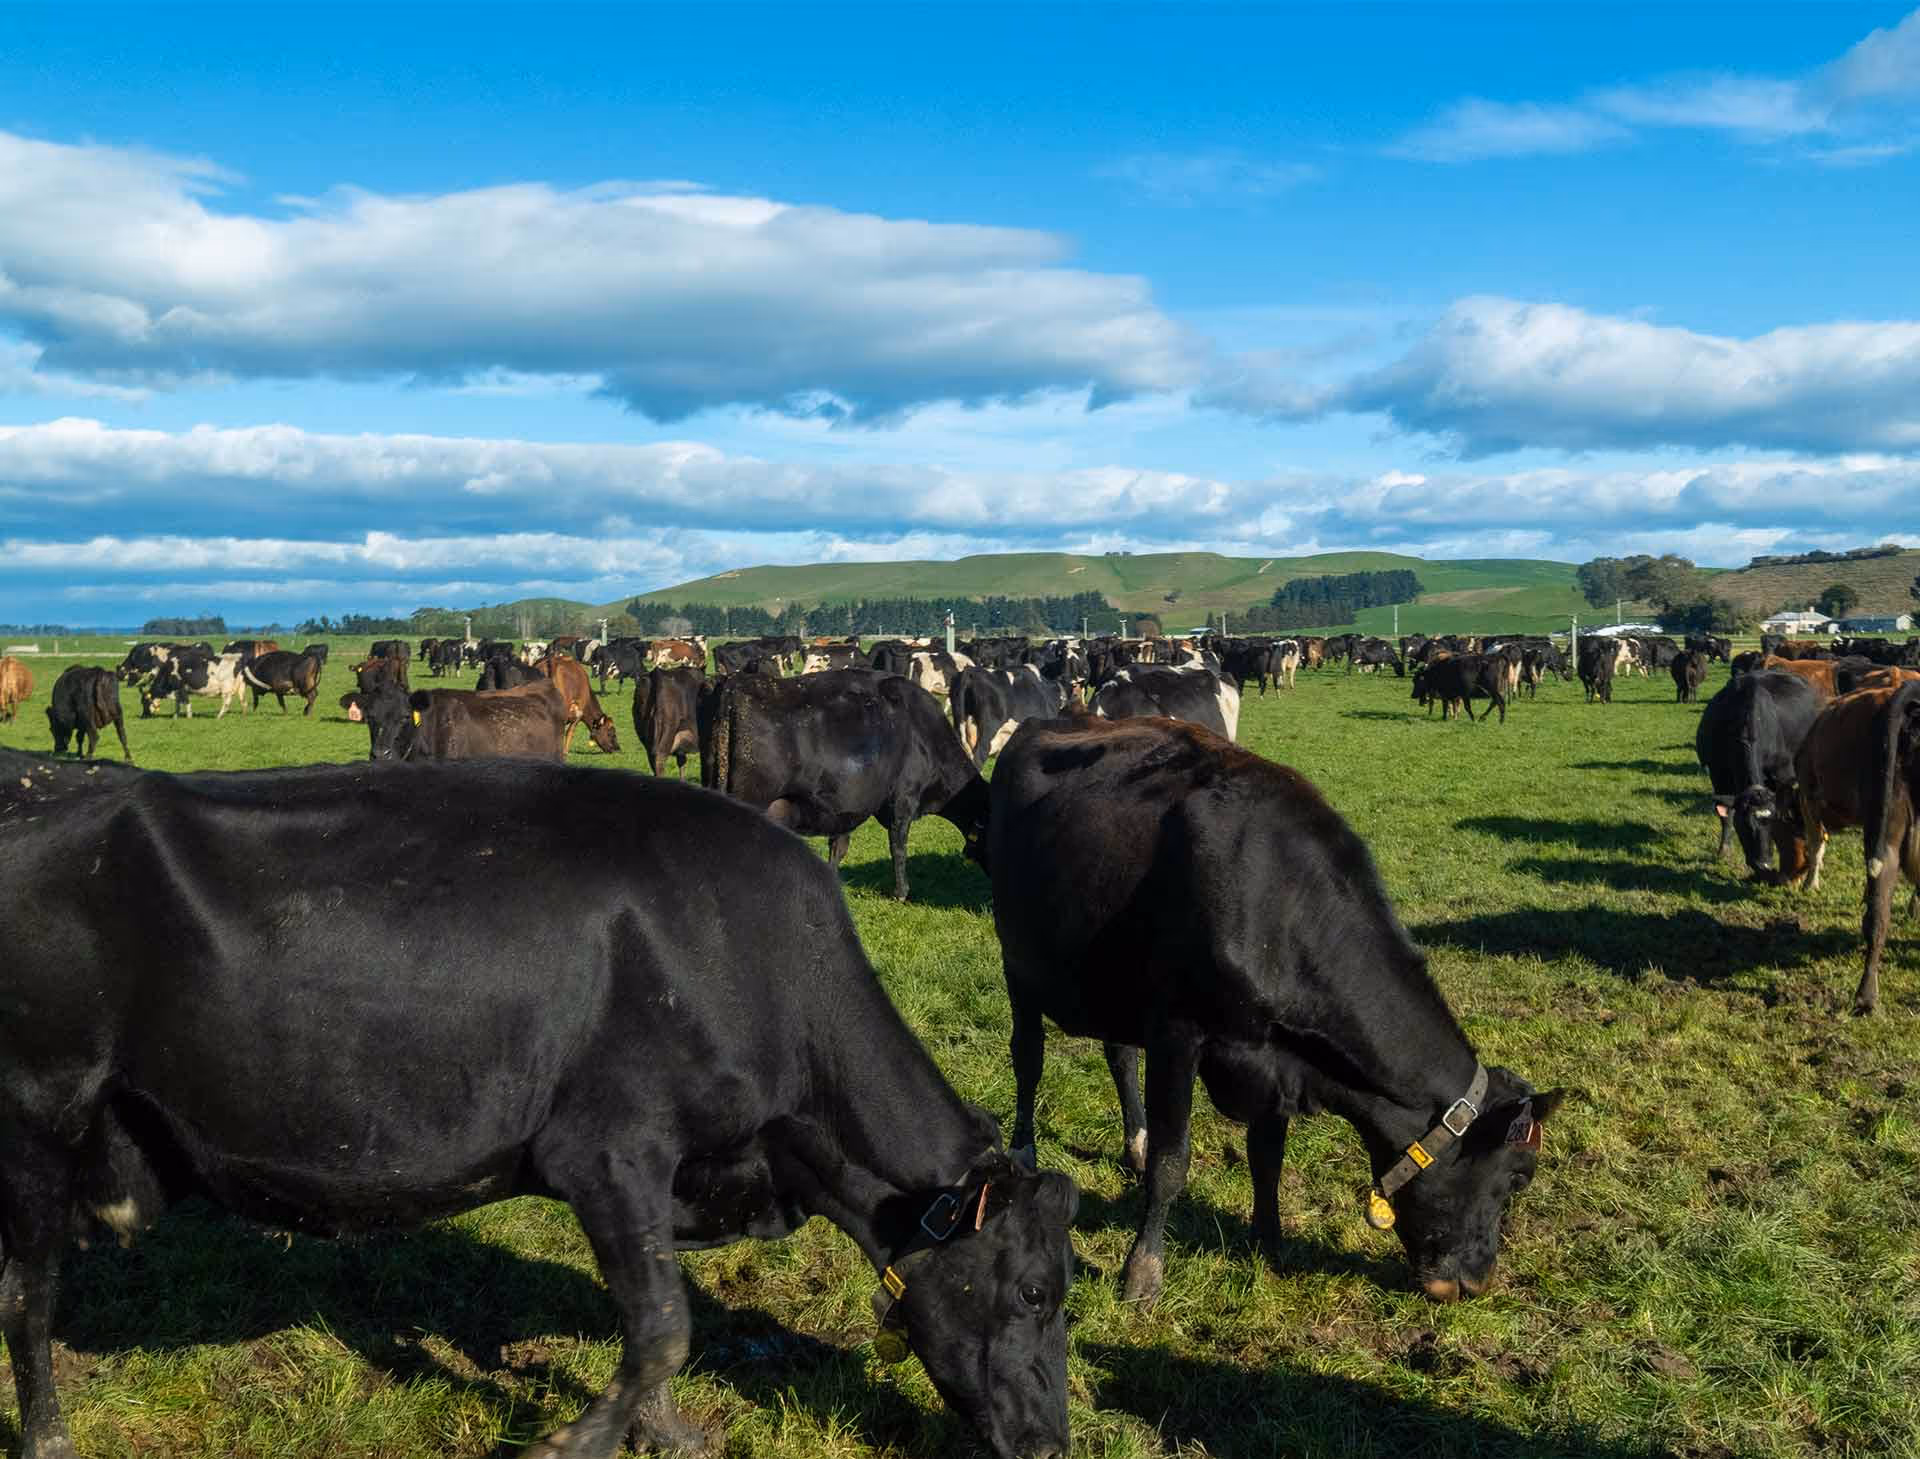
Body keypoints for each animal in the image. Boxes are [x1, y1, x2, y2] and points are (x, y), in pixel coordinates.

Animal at [0, 751, 1078, 1459]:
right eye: (1035, 1291)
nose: (1053, 1442)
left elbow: (657, 1325)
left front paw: (665, 1432)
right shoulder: (607, 1149)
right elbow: (663, 1327)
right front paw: (576, 1441)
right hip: (39, 1112)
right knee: (26, 1299)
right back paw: (49, 1440)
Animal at [704, 668, 990, 902]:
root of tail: (736, 682)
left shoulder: (846, 806)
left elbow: (838, 847)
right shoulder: (904, 798)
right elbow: (898, 846)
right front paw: (901, 893)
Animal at [987, 716, 1562, 1305]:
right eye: (1518, 1176)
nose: (1476, 1281)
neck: (1278, 904)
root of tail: (1053, 720)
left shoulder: (1280, 1061)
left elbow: (1268, 1157)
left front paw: (1269, 1243)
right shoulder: (1177, 1032)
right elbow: (1172, 1163)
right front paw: (1142, 1273)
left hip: (1113, 981)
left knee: (1119, 1054)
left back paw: (1134, 1144)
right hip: (1017, 960)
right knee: (1028, 1059)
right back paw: (1026, 1151)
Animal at [1694, 670, 1825, 877]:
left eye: (1774, 826)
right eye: (1744, 826)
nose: (1763, 865)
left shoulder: (1783, 774)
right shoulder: (1718, 773)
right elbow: (1725, 816)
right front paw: (1724, 850)